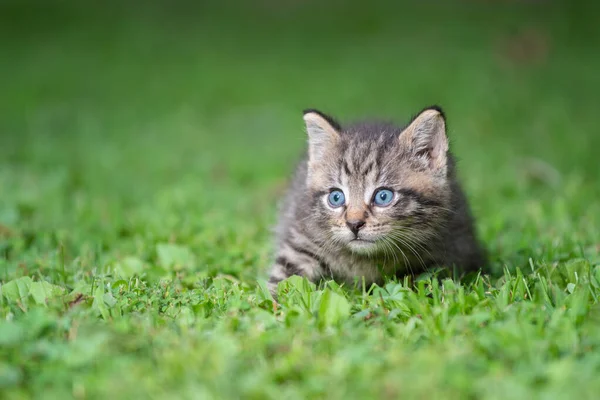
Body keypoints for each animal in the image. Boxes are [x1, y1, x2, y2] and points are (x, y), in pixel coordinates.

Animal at [270, 105, 486, 294]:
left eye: (383, 196)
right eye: (336, 197)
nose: (354, 224)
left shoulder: (452, 246)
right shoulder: (300, 239)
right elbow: (282, 282)